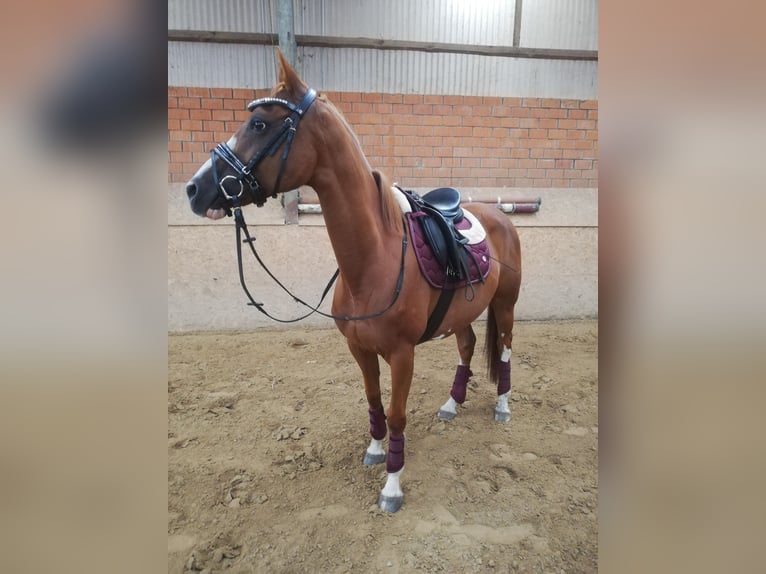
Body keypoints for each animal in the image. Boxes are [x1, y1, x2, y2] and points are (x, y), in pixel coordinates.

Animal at [186, 51, 520, 516]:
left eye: (259, 124)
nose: (193, 189)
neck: (374, 260)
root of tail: (499, 216)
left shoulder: (401, 354)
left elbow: (396, 414)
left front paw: (392, 486)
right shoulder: (359, 349)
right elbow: (373, 400)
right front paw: (376, 451)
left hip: (505, 305)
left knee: (504, 350)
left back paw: (503, 406)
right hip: (463, 312)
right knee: (468, 346)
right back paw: (452, 404)